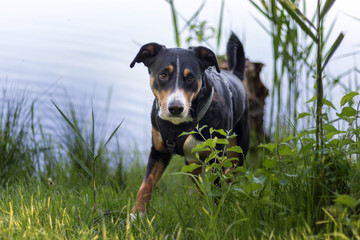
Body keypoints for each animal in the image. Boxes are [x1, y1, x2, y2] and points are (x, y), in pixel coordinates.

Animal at [129, 31, 250, 218]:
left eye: (190, 77)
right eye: (163, 75)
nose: (175, 108)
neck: (178, 125)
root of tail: (235, 75)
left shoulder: (216, 157)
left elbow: (217, 188)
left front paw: (218, 214)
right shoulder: (158, 151)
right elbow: (146, 185)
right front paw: (137, 215)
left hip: (237, 152)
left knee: (230, 177)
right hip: (191, 163)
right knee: (200, 184)